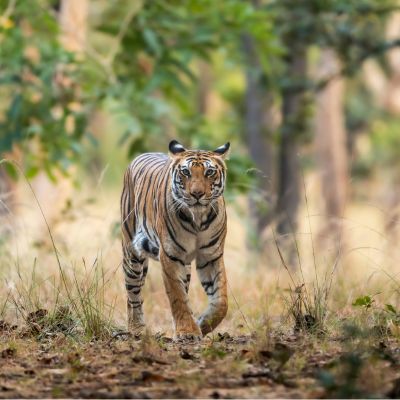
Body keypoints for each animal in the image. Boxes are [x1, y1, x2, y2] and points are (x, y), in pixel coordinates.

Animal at [120, 139, 230, 340]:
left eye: (209, 172)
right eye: (185, 172)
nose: (197, 194)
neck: (198, 218)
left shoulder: (211, 256)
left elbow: (221, 301)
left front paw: (202, 324)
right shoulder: (171, 255)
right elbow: (177, 295)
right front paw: (188, 331)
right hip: (131, 254)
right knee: (133, 293)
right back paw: (136, 328)